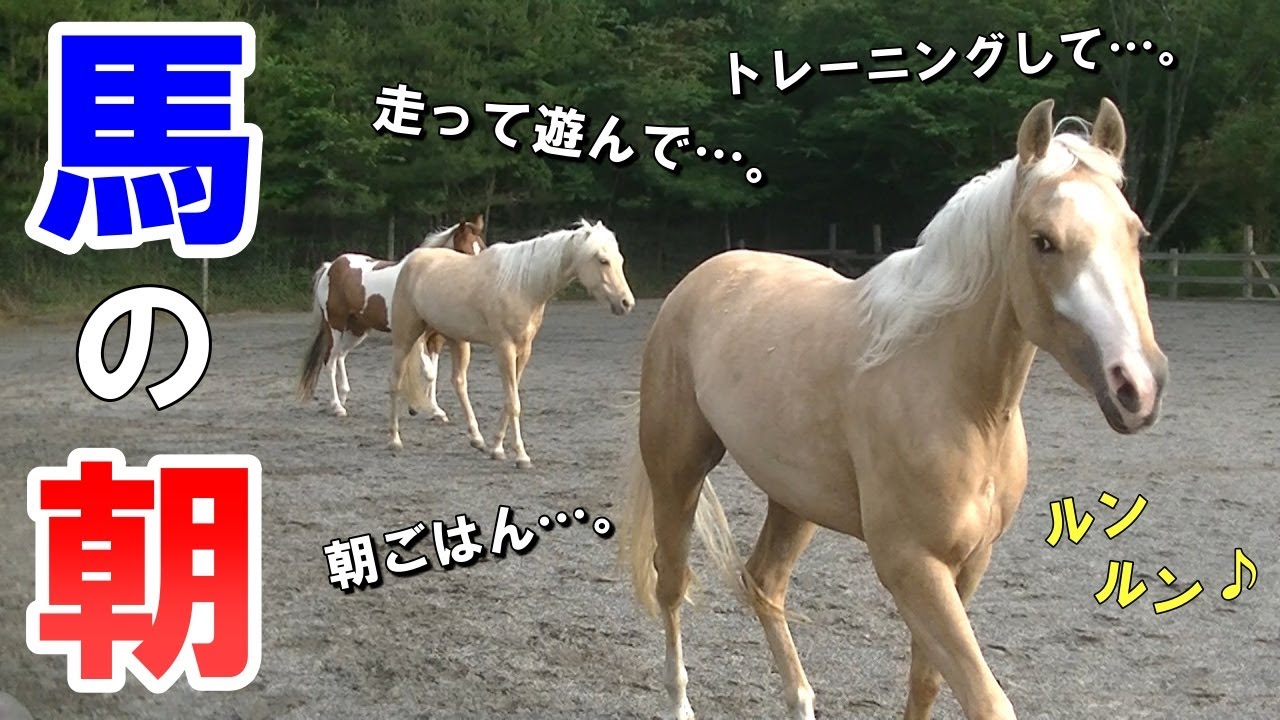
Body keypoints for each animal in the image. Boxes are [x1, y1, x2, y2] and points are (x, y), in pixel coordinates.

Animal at [297, 214, 487, 419]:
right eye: (465, 250)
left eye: (483, 248)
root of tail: (331, 266)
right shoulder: (418, 336)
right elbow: (428, 372)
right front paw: (424, 408)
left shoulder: (436, 337)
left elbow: (433, 374)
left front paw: (433, 410)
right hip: (336, 325)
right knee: (330, 360)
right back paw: (337, 406)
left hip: (357, 329)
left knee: (340, 355)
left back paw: (343, 397)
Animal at [387, 219, 637, 468]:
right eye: (603, 260)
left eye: (620, 259)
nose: (626, 303)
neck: (522, 287)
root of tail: (412, 260)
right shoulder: (505, 348)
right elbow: (514, 403)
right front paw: (521, 456)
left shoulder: (524, 350)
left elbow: (510, 400)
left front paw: (497, 448)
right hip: (405, 337)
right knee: (396, 382)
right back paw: (394, 440)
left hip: (456, 339)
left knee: (459, 382)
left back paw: (477, 439)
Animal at [617, 98, 1168, 720]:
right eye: (1043, 240)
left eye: (1136, 233)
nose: (1137, 385)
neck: (960, 400)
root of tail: (700, 279)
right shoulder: (912, 566)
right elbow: (985, 699)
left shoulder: (968, 563)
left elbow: (926, 682)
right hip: (678, 470)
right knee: (671, 583)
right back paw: (679, 701)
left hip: (794, 500)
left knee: (763, 582)